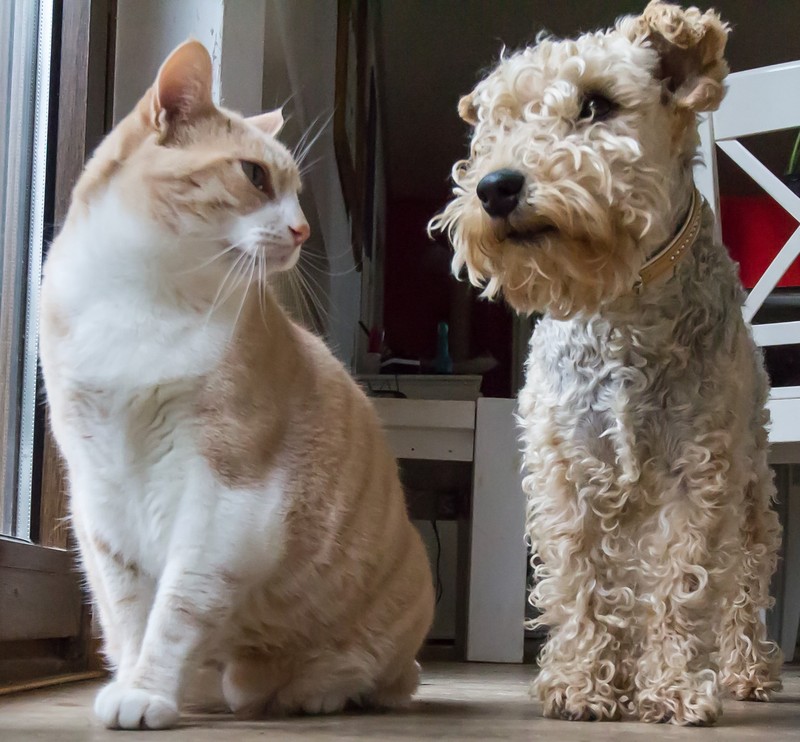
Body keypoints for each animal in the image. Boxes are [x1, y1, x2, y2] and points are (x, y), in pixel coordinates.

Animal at [40, 40, 434, 732]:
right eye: (255, 177)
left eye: (299, 193)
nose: (304, 231)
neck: (139, 297)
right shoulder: (99, 492)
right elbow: (129, 609)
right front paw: (137, 684)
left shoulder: (225, 495)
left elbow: (176, 609)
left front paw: (146, 692)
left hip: (397, 605)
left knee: (378, 676)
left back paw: (310, 691)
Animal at [432, 0, 780, 728]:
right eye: (496, 119)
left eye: (597, 104)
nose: (495, 187)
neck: (622, 311)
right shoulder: (568, 468)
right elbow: (582, 580)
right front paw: (582, 683)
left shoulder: (696, 471)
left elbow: (681, 583)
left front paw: (671, 687)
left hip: (752, 485)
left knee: (745, 581)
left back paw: (748, 670)